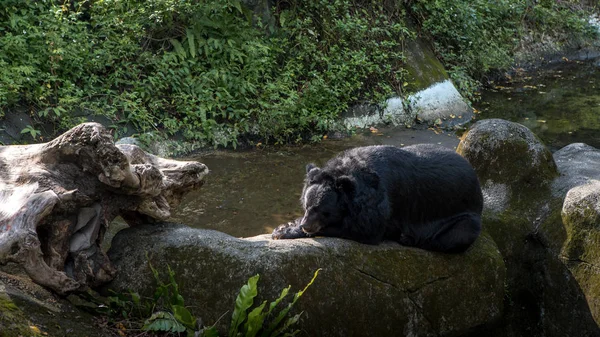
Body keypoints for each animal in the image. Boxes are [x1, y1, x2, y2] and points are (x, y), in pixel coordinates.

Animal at [274, 144, 486, 252]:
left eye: (324, 211)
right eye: (306, 206)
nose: (306, 225)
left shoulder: (379, 200)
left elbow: (365, 229)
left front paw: (287, 231)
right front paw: (284, 227)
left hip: (462, 217)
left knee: (457, 235)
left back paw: (408, 238)